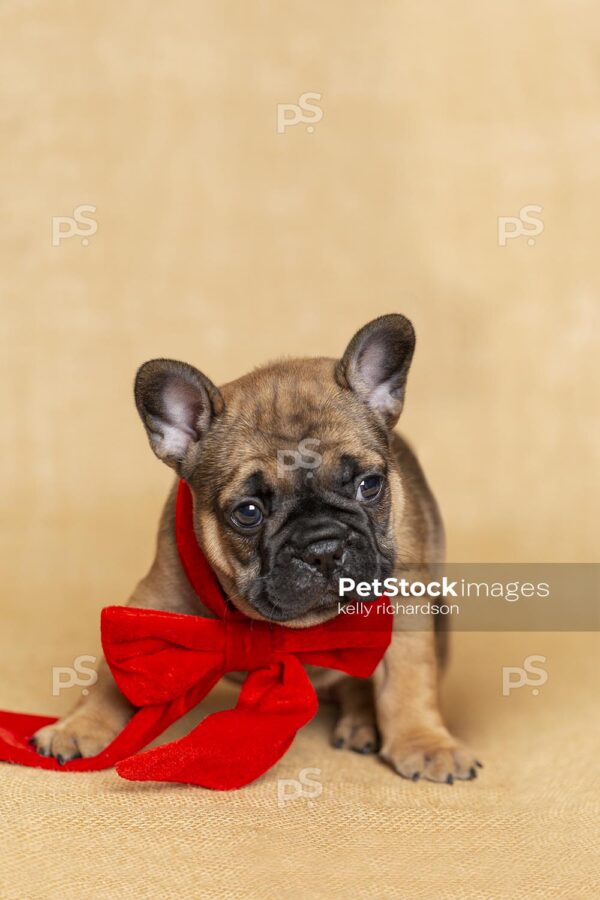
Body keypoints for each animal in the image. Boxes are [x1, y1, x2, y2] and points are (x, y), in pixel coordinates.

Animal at [34, 316, 482, 780]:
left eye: (370, 485)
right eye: (248, 513)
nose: (323, 546)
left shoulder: (408, 600)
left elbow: (409, 675)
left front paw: (425, 743)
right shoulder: (152, 605)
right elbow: (113, 674)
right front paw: (79, 726)